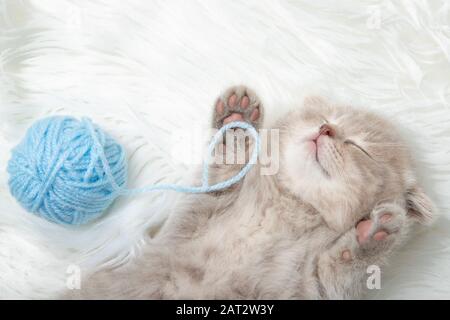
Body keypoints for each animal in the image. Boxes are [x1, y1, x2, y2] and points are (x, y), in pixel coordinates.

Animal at [67, 85, 436, 300]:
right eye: (325, 118)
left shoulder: (313, 290)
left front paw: (372, 234)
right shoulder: (188, 223)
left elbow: (342, 269)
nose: (325, 130)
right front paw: (235, 121)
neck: (288, 211)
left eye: (359, 147)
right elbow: (223, 173)